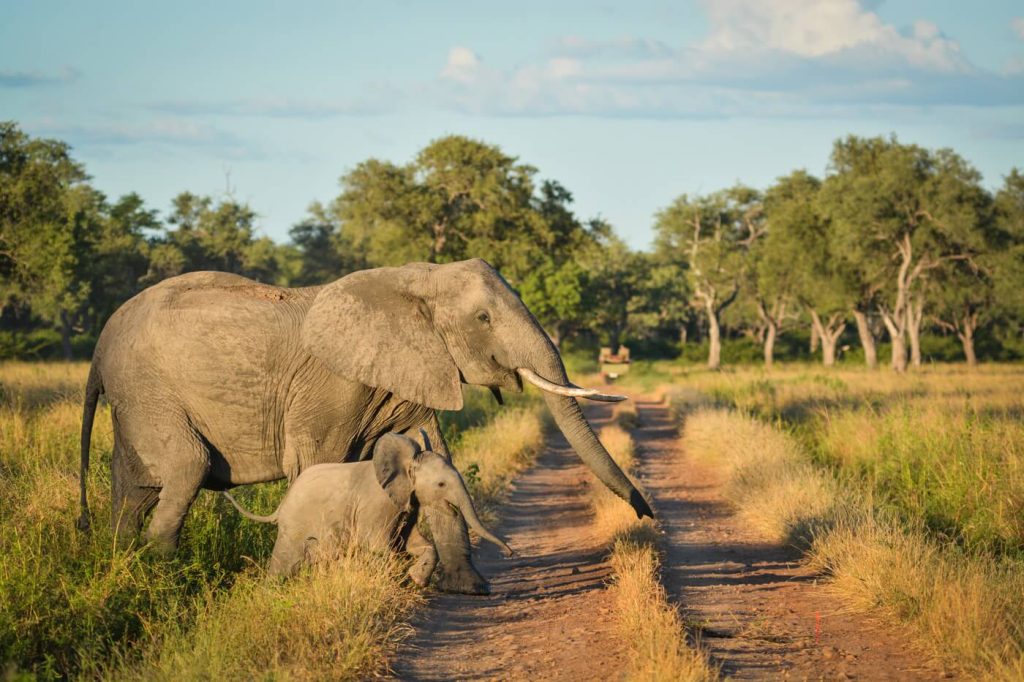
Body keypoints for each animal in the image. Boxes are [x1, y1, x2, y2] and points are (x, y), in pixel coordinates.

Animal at [224, 430, 512, 577]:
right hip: (294, 526)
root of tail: (281, 506)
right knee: (284, 561)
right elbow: (378, 546)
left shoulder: (406, 504)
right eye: (441, 485)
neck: (407, 463)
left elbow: (414, 542)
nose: (510, 553)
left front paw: (416, 578)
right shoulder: (378, 505)